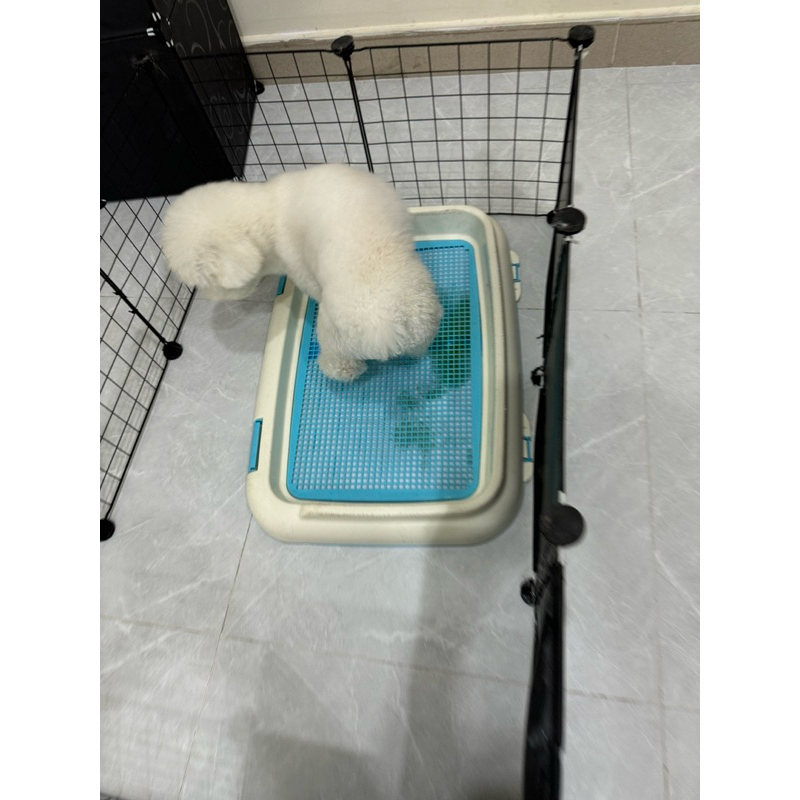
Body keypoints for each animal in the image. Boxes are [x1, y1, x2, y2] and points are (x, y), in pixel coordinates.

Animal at [161, 164, 443, 382]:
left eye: (205, 281)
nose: (208, 297)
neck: (265, 211)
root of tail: (383, 325)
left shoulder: (299, 266)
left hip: (333, 339)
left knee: (340, 365)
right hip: (424, 323)